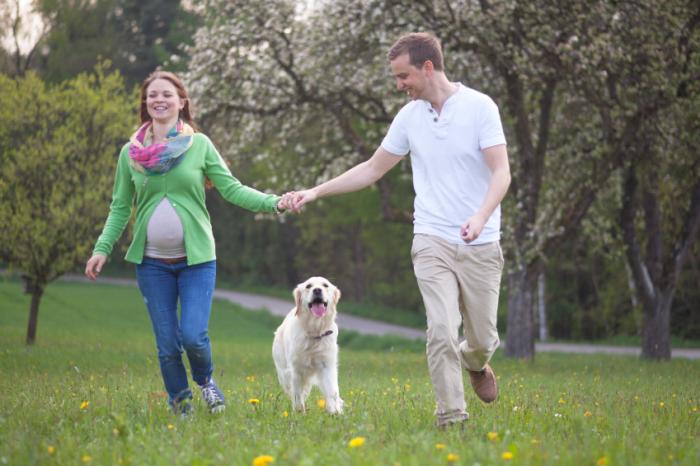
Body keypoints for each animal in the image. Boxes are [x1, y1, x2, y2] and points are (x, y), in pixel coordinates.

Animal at [272, 274, 344, 414]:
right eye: (308, 286)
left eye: (325, 285)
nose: (317, 290)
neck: (315, 331)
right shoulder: (296, 369)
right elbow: (297, 394)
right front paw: (299, 412)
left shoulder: (326, 364)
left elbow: (332, 391)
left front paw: (335, 412)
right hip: (284, 374)